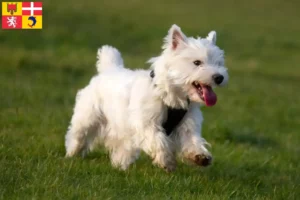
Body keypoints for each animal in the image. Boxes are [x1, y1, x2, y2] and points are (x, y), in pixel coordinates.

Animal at [65, 24, 227, 172]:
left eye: (219, 63)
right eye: (197, 62)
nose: (219, 77)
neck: (170, 97)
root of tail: (108, 69)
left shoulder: (187, 124)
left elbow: (192, 141)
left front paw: (200, 156)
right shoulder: (146, 123)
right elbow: (159, 141)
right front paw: (166, 161)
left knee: (122, 148)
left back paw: (120, 165)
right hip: (88, 117)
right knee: (77, 134)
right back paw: (72, 153)